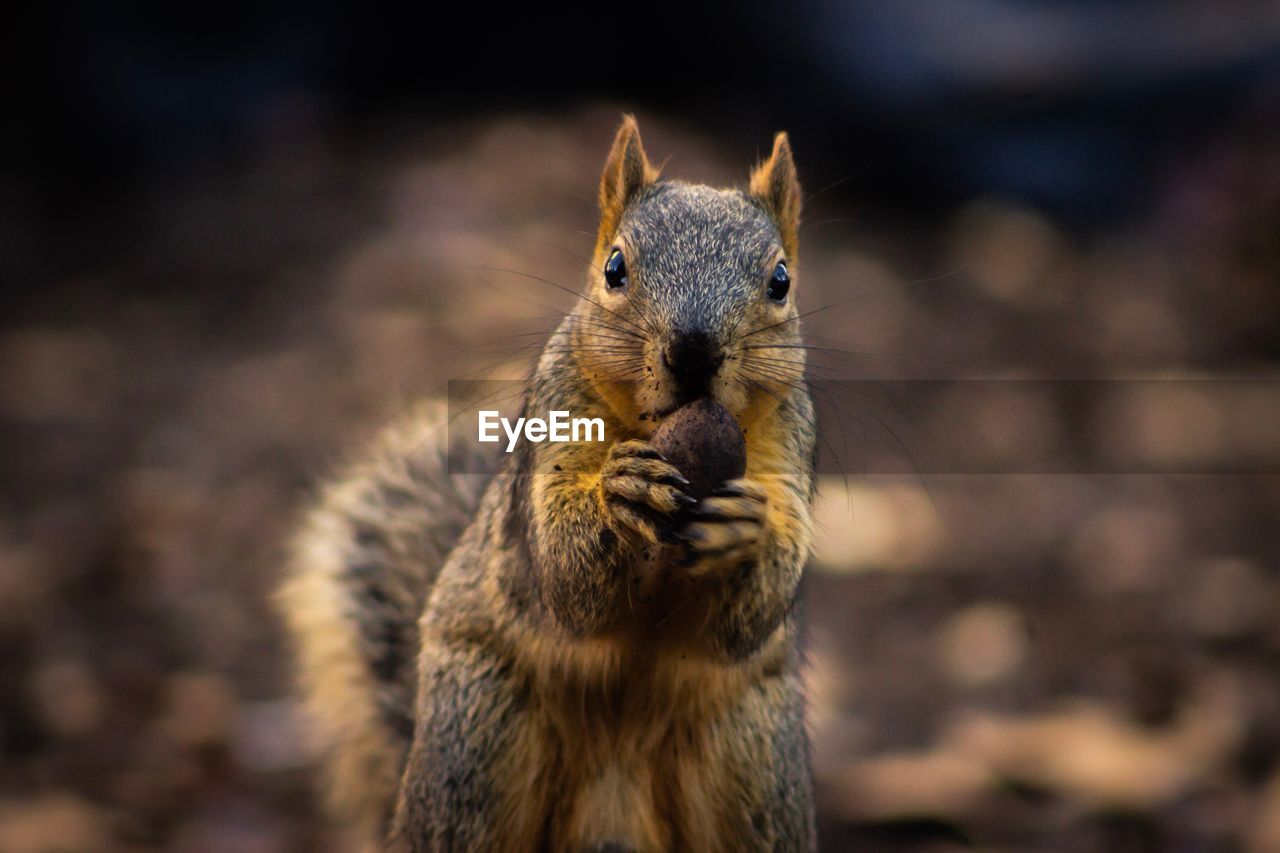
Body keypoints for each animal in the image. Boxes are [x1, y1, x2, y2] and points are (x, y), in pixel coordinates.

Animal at [280, 114, 819, 850]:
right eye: (614, 268)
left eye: (781, 280)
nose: (693, 351)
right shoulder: (554, 423)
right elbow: (567, 576)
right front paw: (618, 495)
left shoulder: (790, 451)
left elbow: (747, 620)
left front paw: (749, 532)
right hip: (475, 737)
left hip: (753, 761)